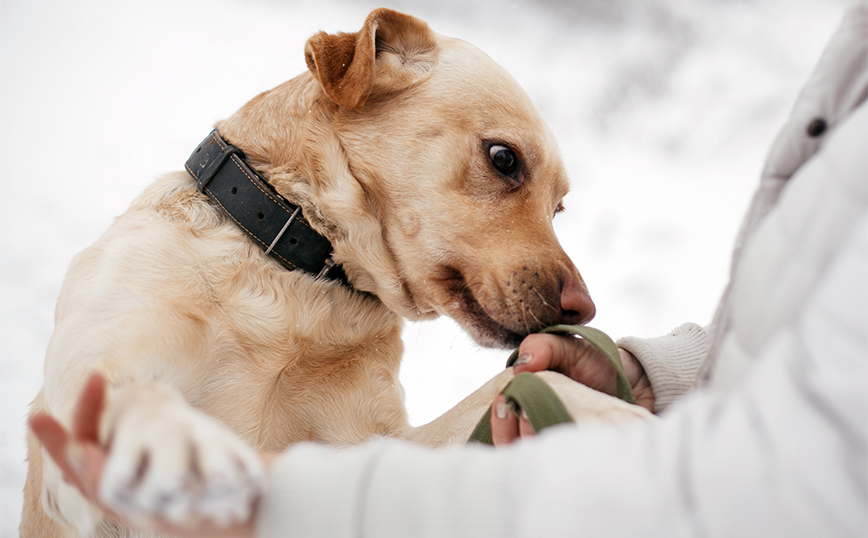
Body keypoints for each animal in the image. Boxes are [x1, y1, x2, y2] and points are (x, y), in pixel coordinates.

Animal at [20, 9, 652, 536]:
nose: (583, 310)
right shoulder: (90, 384)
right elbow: (133, 395)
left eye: (559, 209)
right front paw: (176, 443)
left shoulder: (375, 448)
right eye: (503, 158)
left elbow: (524, 384)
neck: (300, 282)